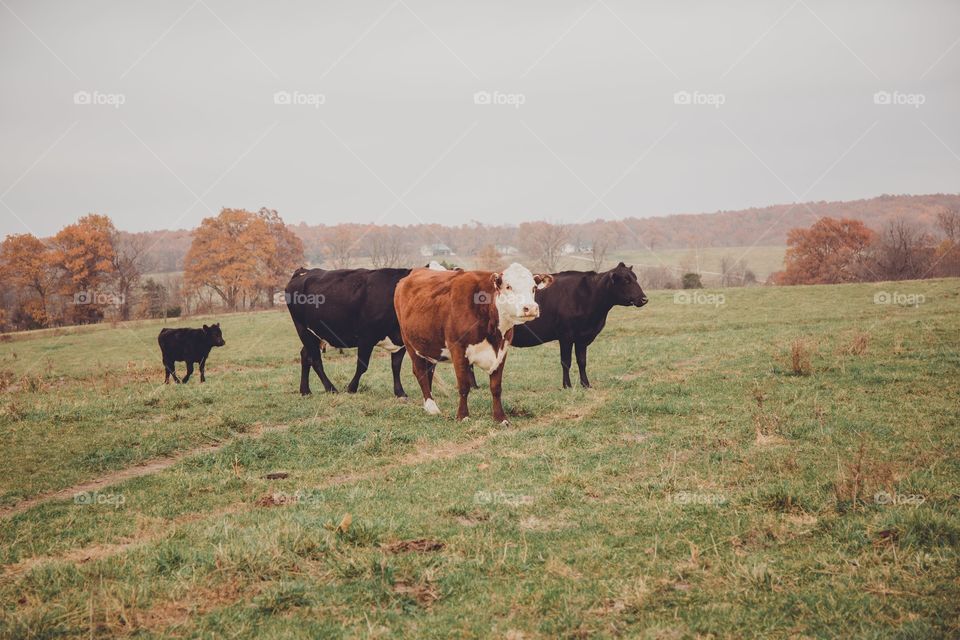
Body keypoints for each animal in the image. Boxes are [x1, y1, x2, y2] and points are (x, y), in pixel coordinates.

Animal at [394, 263, 554, 425]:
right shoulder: (458, 349)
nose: (531, 308)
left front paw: (500, 418)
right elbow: (464, 385)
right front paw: (463, 416)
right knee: (420, 371)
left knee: (429, 372)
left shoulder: (502, 350)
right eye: (508, 286)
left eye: (534, 287)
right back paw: (431, 407)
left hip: (429, 346)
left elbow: (496, 387)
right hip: (409, 342)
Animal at [511, 262, 648, 388]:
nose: (644, 299)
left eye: (635, 278)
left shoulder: (582, 337)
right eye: (626, 281)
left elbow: (582, 361)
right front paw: (567, 386)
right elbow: (566, 362)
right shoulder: (565, 335)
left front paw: (586, 384)